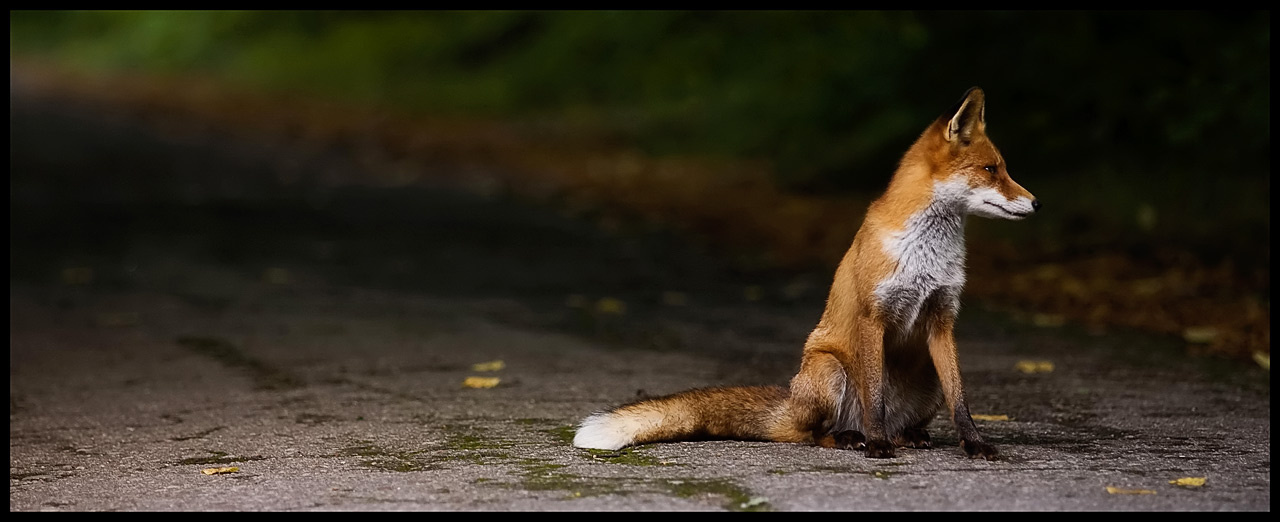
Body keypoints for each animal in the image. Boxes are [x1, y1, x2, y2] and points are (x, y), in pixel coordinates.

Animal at [572, 87, 1039, 460]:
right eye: (991, 170)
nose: (1036, 204)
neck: (925, 253)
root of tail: (791, 402)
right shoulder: (873, 316)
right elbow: (873, 397)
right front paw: (876, 445)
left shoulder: (942, 319)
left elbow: (963, 403)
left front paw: (974, 445)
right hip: (829, 370)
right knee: (814, 434)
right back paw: (855, 439)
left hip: (928, 378)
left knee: (904, 422)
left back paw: (907, 437)